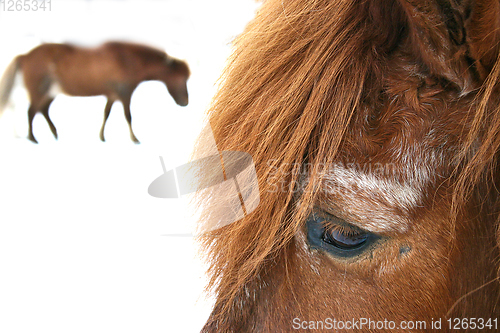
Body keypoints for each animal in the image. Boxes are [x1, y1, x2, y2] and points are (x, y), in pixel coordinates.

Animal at [0, 40, 190, 142]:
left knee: (42, 110)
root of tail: (25, 56)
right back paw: (33, 138)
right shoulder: (125, 94)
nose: (185, 102)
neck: (127, 59)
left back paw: (54, 134)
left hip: (50, 92)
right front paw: (134, 138)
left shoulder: (113, 95)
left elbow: (106, 113)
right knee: (32, 111)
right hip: (39, 91)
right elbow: (128, 116)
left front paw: (102, 136)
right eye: (182, 79)